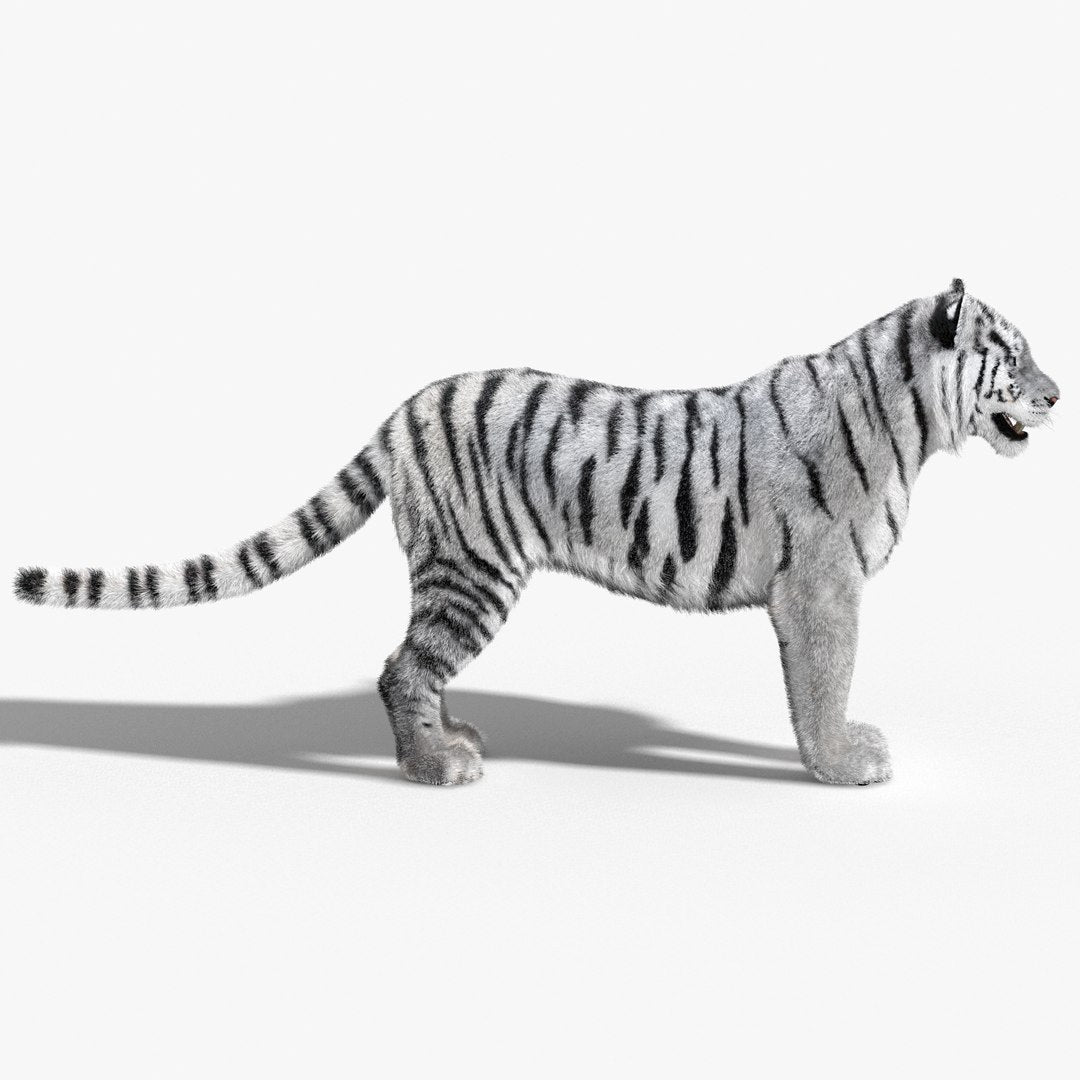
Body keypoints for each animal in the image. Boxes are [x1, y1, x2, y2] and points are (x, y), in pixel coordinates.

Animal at [14, 279, 1061, 786]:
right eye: (1009, 355)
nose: (1057, 394)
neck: (913, 423)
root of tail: (403, 408)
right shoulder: (822, 586)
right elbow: (824, 683)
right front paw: (845, 764)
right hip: (471, 571)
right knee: (399, 666)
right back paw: (436, 767)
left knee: (410, 667)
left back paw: (450, 735)